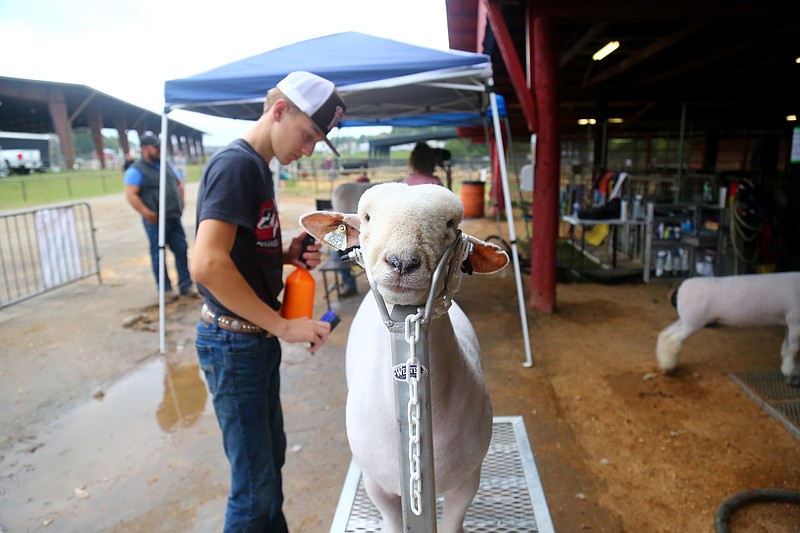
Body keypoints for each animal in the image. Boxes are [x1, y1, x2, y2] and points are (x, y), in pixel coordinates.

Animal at [296, 181, 510, 528]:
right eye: (367, 217)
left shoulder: (469, 480)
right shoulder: (377, 485)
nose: (401, 262)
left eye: (451, 224)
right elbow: (393, 520)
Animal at [656, 272, 800, 384]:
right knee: (673, 338)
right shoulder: (795, 322)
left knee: (666, 335)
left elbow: (787, 348)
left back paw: (666, 365)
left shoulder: (788, 323)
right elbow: (795, 352)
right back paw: (668, 367)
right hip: (693, 321)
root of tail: (681, 289)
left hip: (686, 319)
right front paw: (791, 376)